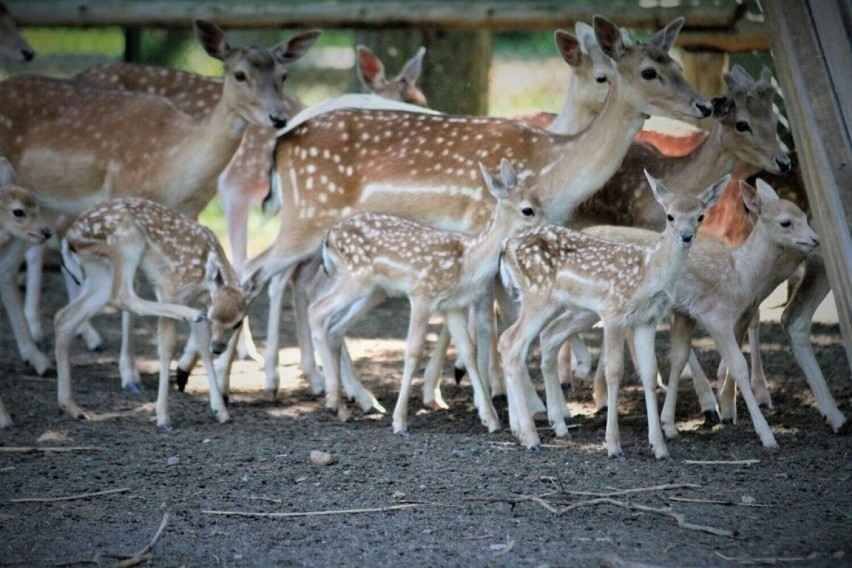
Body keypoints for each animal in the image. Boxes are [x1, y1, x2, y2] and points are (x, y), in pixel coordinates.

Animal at [0, 21, 320, 394]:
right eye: (239, 74)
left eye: (283, 74)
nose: (279, 118)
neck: (174, 166)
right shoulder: (125, 197)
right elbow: (133, 292)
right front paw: (130, 375)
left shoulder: (190, 213)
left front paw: (189, 365)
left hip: (35, 208)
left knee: (14, 264)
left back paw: (41, 355)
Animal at [55, 197, 262, 428]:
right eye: (213, 318)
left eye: (237, 323)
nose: (218, 348)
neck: (201, 281)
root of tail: (69, 237)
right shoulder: (169, 289)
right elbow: (167, 346)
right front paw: (163, 416)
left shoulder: (200, 302)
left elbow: (202, 345)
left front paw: (221, 411)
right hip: (126, 241)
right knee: (122, 296)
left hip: (100, 272)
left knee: (64, 317)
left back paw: (72, 408)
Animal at [310, 160, 544, 434]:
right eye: (528, 210)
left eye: (540, 200)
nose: (549, 226)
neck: (466, 262)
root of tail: (328, 236)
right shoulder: (422, 294)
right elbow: (413, 351)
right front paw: (399, 422)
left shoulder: (453, 306)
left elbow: (469, 352)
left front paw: (491, 420)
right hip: (354, 277)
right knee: (316, 310)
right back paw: (334, 402)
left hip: (375, 291)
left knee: (335, 326)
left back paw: (349, 404)